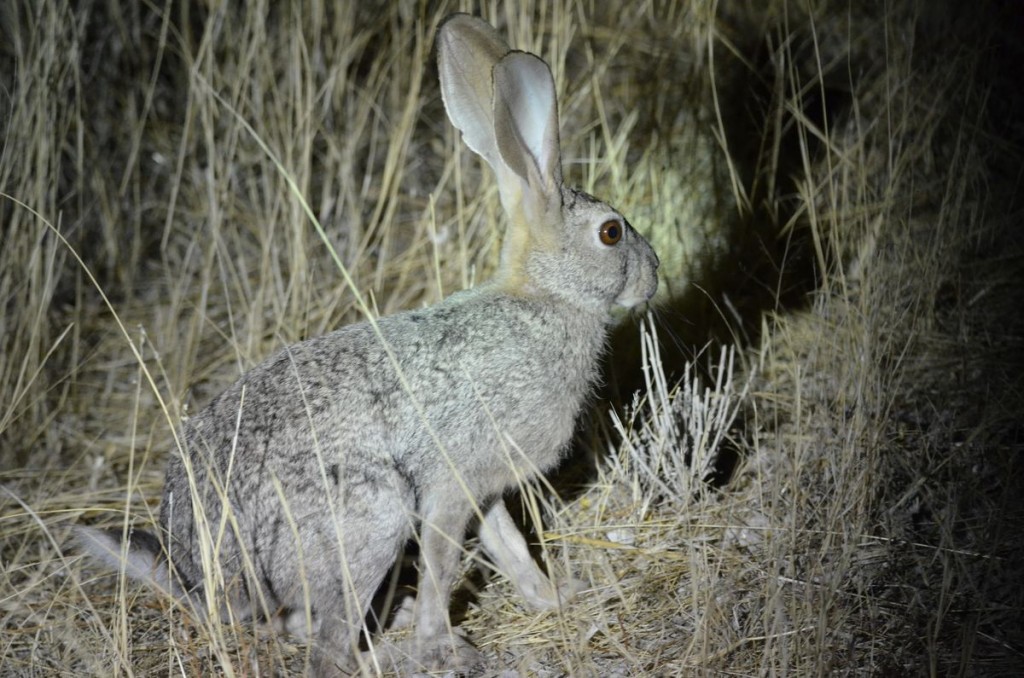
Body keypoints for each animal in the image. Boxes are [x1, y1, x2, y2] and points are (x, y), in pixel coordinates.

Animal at [76, 13, 658, 676]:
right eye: (611, 233)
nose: (654, 274)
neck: (545, 300)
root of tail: (211, 583)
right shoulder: (450, 484)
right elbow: (441, 565)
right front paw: (440, 646)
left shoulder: (483, 489)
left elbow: (507, 546)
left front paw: (556, 598)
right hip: (372, 515)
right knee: (326, 642)